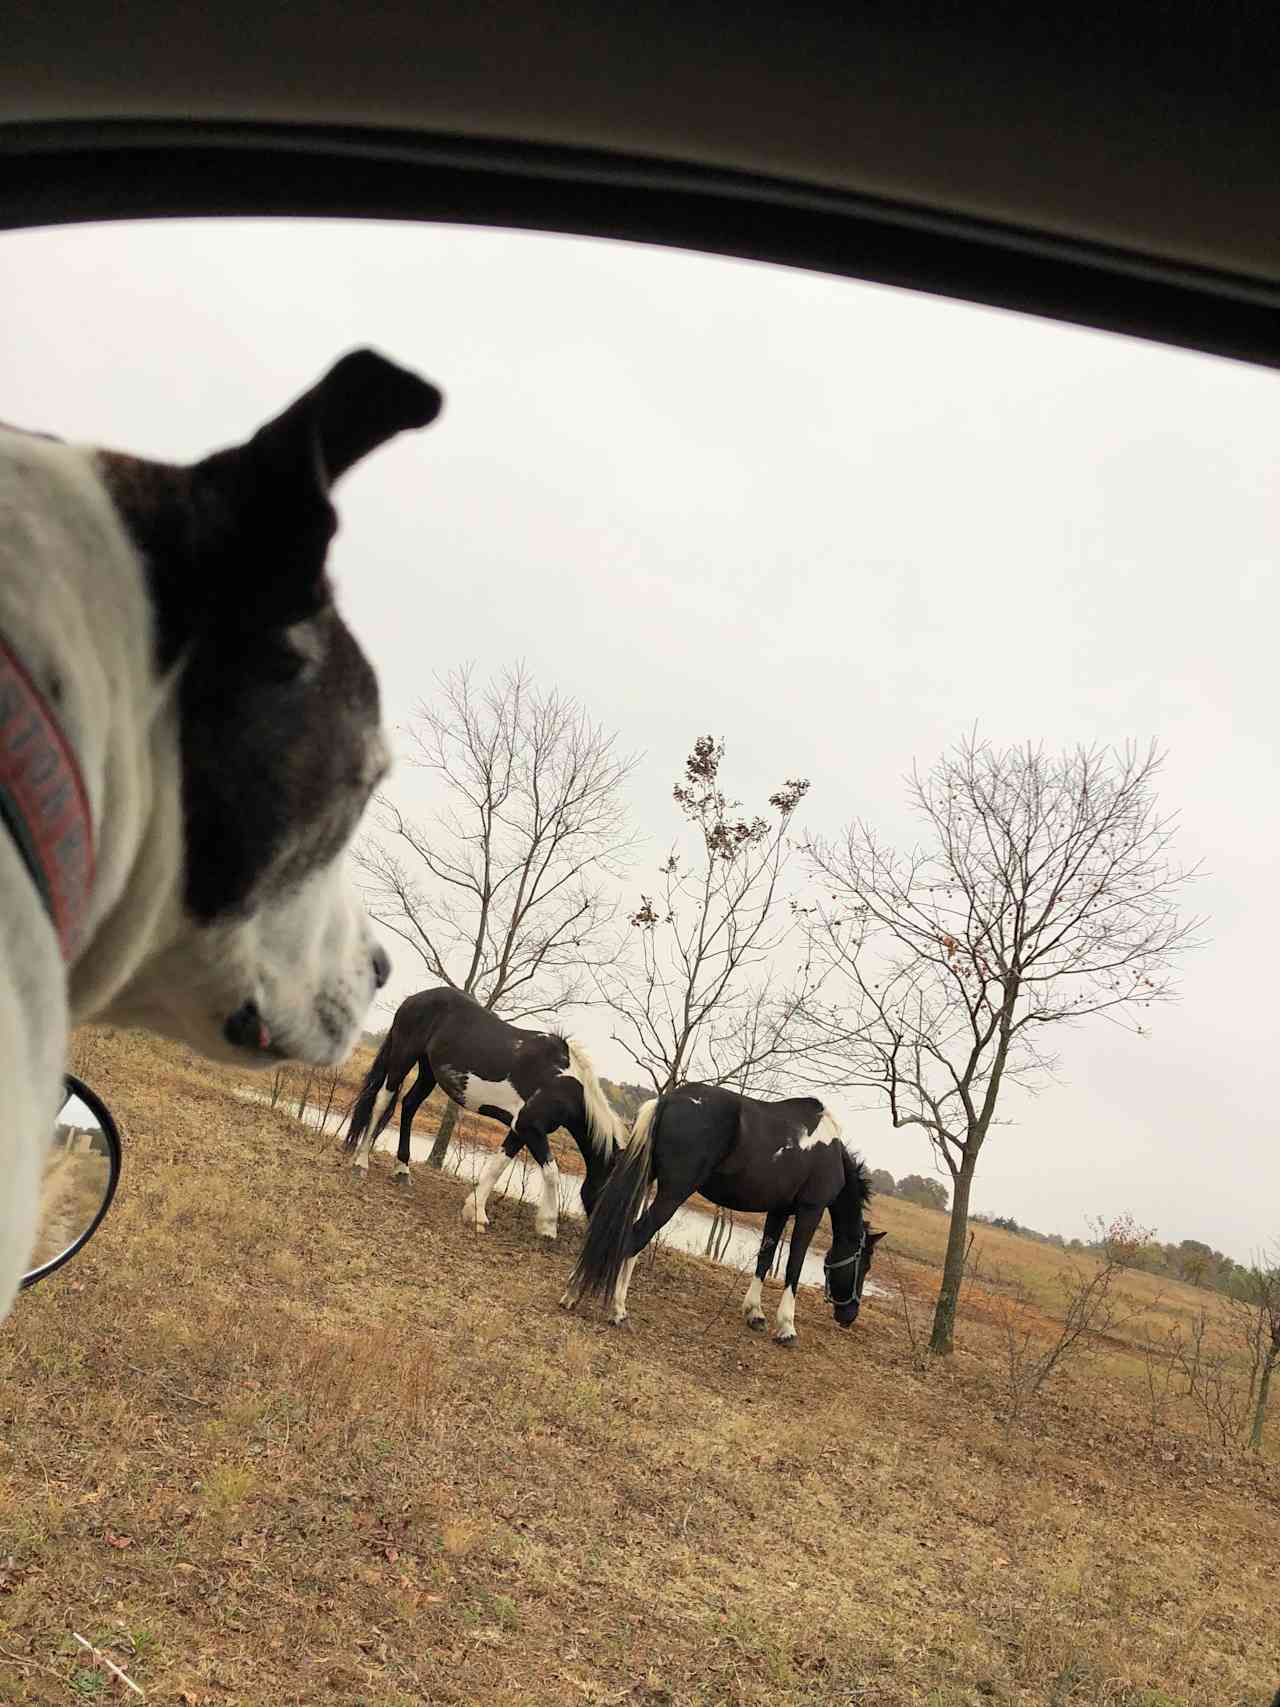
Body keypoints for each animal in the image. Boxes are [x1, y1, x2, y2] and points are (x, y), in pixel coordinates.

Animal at [337, 990, 624, 1242]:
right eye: (608, 1191)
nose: (602, 1236)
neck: (563, 1082)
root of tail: (415, 998)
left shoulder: (520, 1130)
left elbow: (498, 1165)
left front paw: (475, 1212)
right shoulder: (529, 1127)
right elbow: (552, 1172)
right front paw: (547, 1227)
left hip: (428, 1071)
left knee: (409, 1106)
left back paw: (402, 1170)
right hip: (402, 1058)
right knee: (382, 1102)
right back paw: (361, 1163)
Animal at [566, 1078, 887, 1345]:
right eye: (864, 1265)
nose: (849, 1316)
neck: (828, 1150)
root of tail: (667, 1100)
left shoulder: (778, 1210)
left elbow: (765, 1257)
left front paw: (755, 1313)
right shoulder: (811, 1210)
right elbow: (793, 1265)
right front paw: (786, 1327)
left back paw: (572, 1292)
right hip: (673, 1194)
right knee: (634, 1239)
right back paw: (618, 1311)